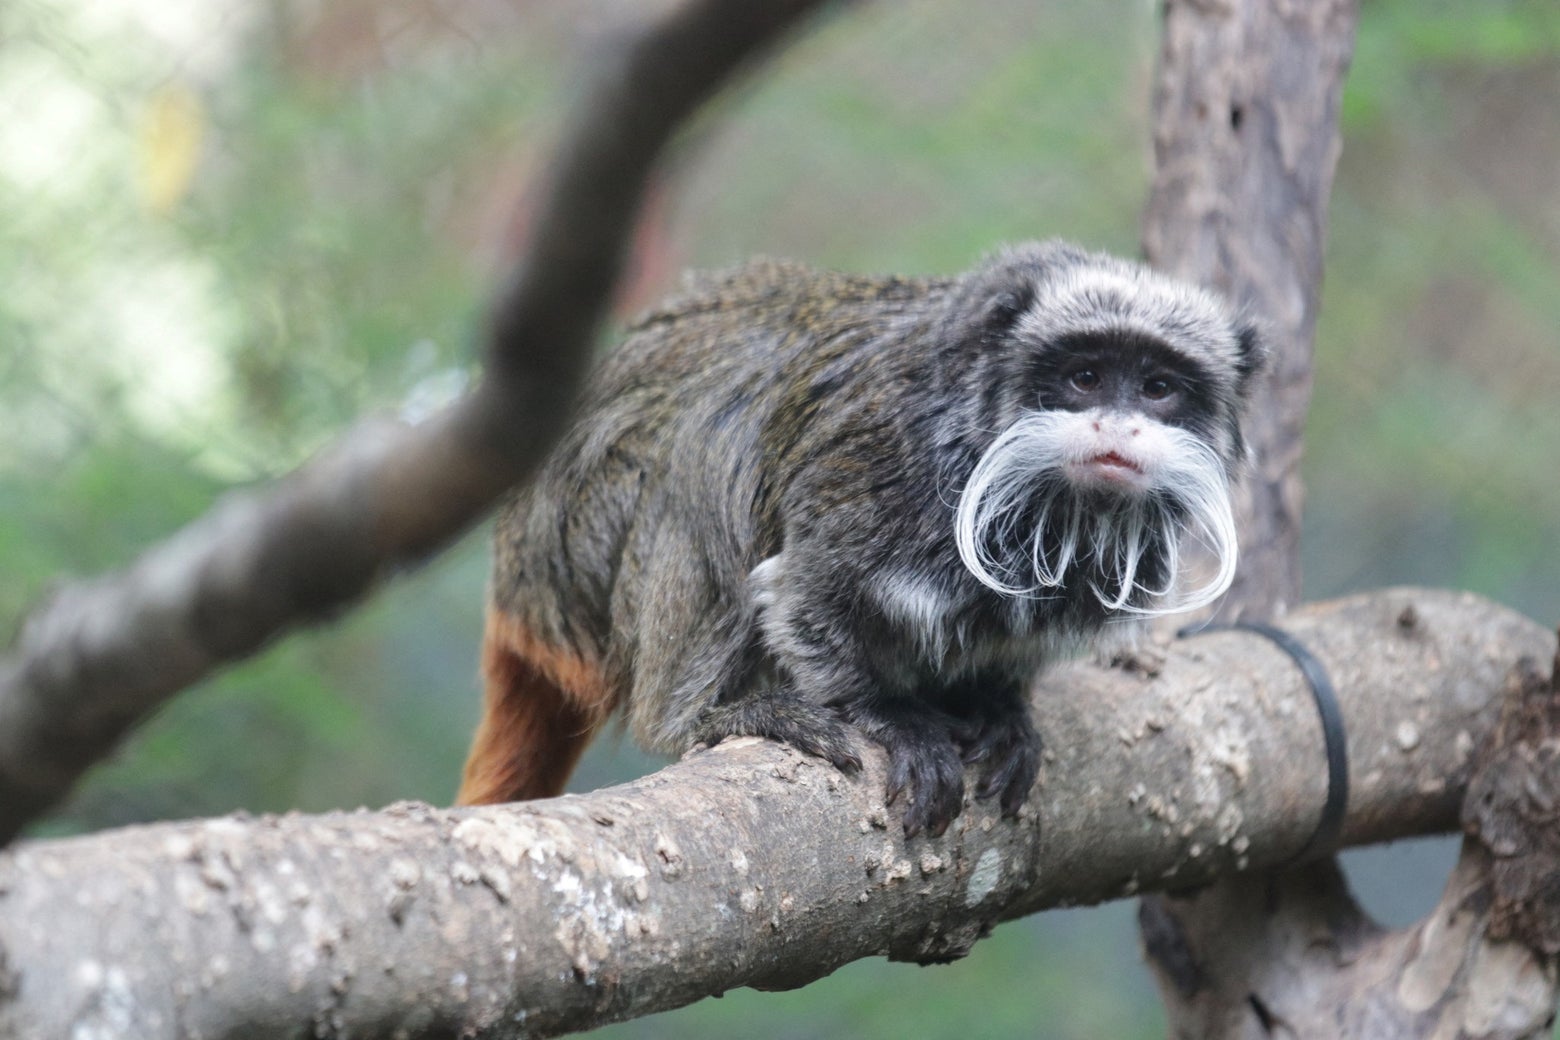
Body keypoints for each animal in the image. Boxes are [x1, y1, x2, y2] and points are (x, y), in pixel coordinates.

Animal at [455, 241, 1266, 835]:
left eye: (1159, 388)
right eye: (1085, 376)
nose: (1119, 428)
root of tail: (515, 585)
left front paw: (1001, 707)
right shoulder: (880, 467)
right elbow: (803, 597)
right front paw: (893, 718)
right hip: (578, 548)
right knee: (704, 455)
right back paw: (704, 714)